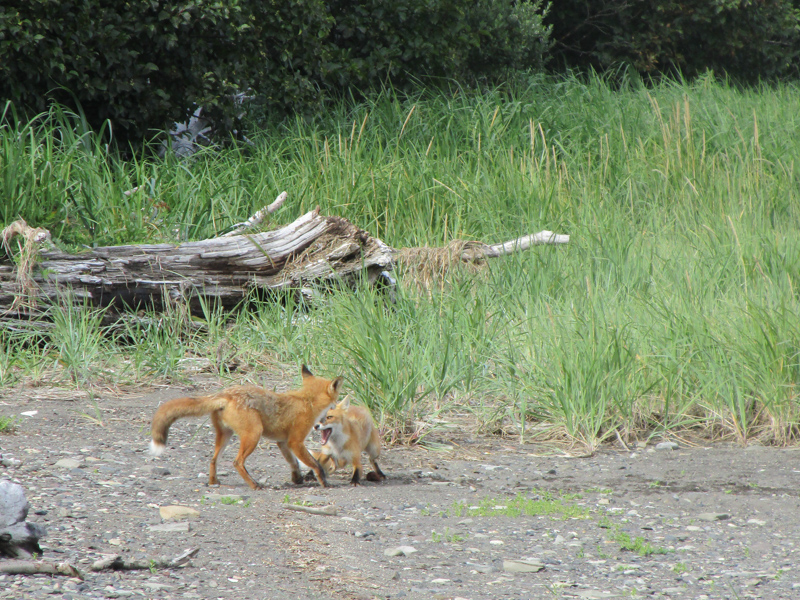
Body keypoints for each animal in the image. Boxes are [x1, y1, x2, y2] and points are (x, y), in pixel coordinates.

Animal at [150, 366, 340, 488]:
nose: (337, 408)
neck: (307, 401)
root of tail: (224, 394)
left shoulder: (282, 442)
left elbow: (293, 462)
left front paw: (297, 479)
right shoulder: (295, 441)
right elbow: (314, 463)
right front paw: (323, 481)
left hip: (224, 436)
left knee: (213, 460)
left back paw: (213, 482)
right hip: (254, 435)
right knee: (237, 462)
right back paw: (254, 485)